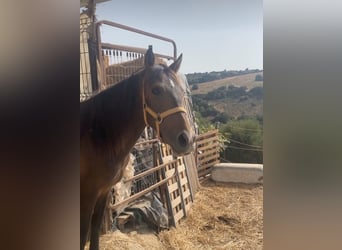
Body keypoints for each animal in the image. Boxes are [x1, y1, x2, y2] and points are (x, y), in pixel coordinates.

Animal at [79, 47, 194, 250]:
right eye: (156, 89)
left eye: (182, 91)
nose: (186, 139)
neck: (97, 135)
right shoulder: (87, 195)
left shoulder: (103, 192)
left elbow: (94, 231)